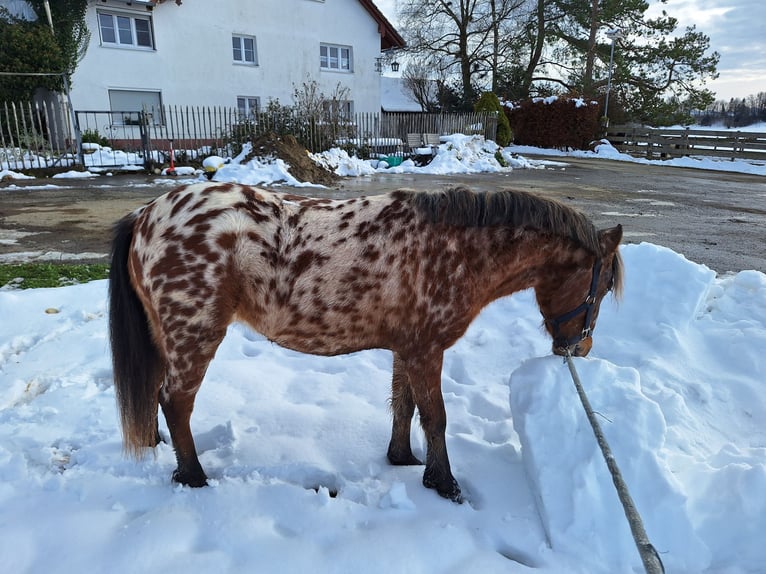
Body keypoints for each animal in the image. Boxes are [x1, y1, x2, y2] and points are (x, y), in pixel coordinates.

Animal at [109, 183, 624, 504]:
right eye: (600, 287)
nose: (581, 349)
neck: (457, 249)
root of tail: (146, 214)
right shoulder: (426, 351)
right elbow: (436, 417)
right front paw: (444, 484)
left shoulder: (407, 349)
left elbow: (404, 406)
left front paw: (402, 459)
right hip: (195, 334)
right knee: (176, 401)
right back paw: (193, 477)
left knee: (156, 394)